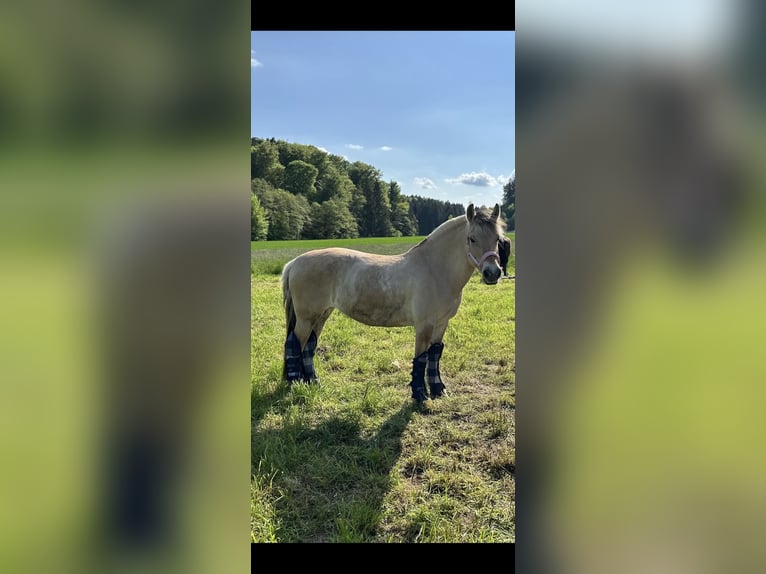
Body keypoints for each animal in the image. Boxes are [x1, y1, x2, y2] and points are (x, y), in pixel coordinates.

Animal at [280, 203, 506, 402]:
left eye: (497, 239)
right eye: (472, 239)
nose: (493, 273)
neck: (434, 269)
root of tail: (294, 262)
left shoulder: (442, 323)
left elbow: (434, 355)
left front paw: (439, 390)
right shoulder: (423, 325)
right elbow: (420, 358)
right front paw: (420, 395)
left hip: (321, 315)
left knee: (309, 346)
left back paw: (313, 382)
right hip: (306, 318)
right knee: (294, 344)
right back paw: (295, 384)